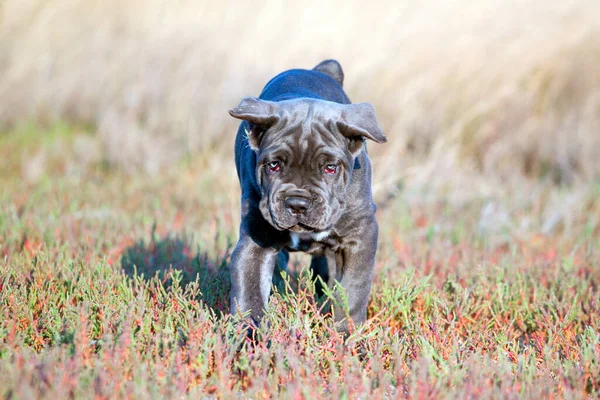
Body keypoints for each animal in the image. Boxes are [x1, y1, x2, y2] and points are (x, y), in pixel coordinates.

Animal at [227, 59, 386, 332]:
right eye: (273, 165)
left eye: (330, 167)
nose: (297, 203)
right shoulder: (255, 240)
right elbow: (249, 295)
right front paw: (249, 338)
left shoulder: (360, 236)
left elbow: (352, 291)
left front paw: (347, 336)